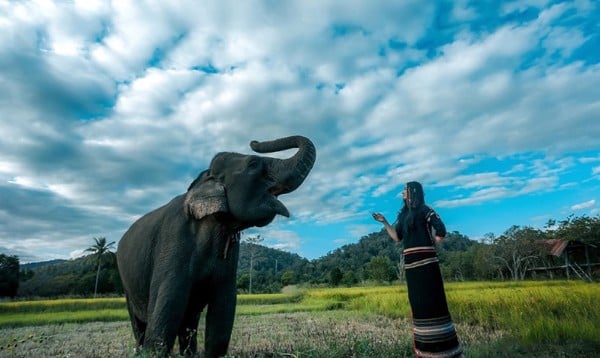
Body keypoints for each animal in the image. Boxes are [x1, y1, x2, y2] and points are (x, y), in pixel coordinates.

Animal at [114, 136, 316, 356]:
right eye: (253, 164)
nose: (254, 141)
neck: (204, 178)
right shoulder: (172, 242)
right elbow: (166, 307)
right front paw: (153, 352)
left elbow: (224, 307)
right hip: (126, 284)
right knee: (141, 323)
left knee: (189, 319)